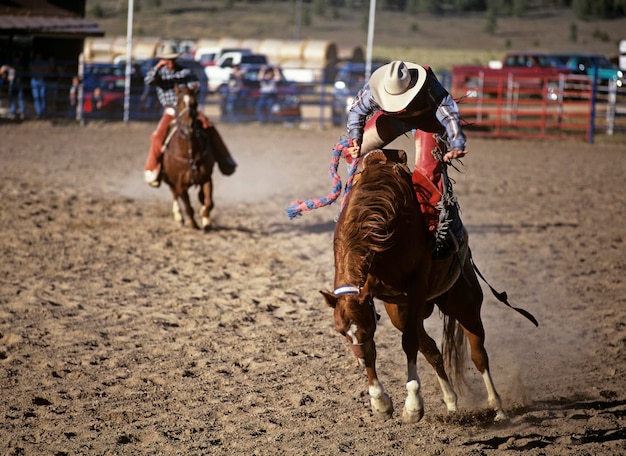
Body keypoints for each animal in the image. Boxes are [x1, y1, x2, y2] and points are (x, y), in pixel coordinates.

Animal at [160, 84, 216, 230]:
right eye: (178, 103)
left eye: (195, 103)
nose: (189, 125)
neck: (189, 152)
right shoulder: (180, 185)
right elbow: (188, 207)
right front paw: (194, 224)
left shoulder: (206, 178)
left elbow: (209, 202)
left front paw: (205, 217)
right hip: (168, 179)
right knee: (174, 194)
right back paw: (178, 216)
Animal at [320, 150, 516, 424]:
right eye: (340, 332)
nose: (358, 361)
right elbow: (381, 349)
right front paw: (380, 402)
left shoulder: (415, 289)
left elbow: (409, 342)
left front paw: (412, 405)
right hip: (400, 311)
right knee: (433, 351)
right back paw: (452, 404)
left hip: (464, 302)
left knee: (478, 354)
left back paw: (498, 408)